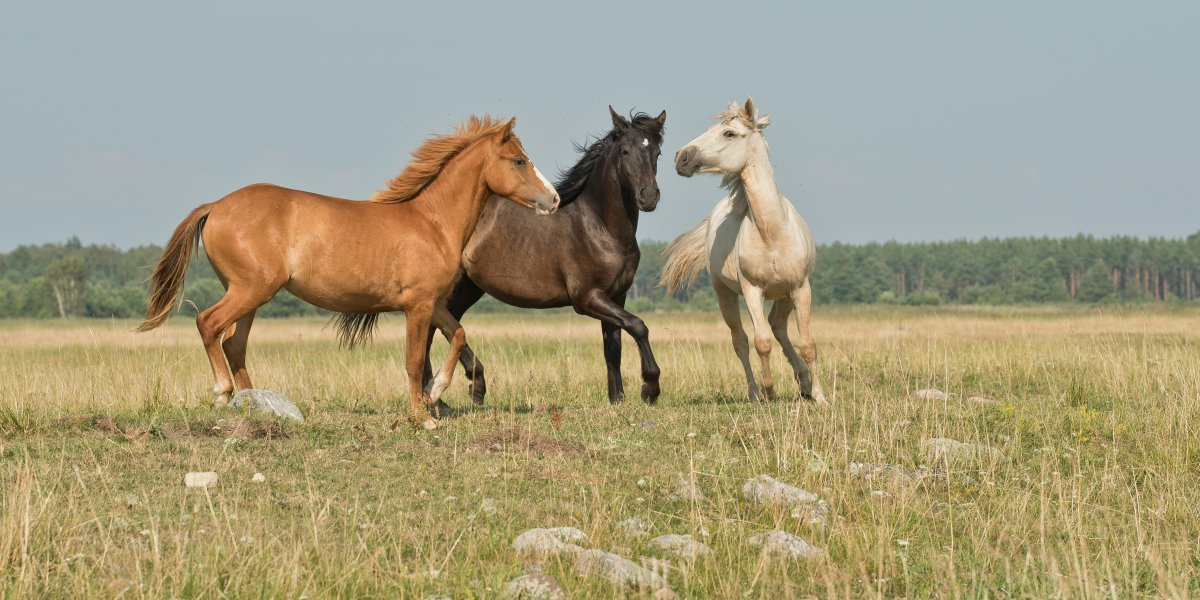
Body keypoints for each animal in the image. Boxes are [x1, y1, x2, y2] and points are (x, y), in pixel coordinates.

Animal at [137, 116, 560, 429]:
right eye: (519, 160)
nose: (554, 199)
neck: (432, 223)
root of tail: (216, 205)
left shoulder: (433, 303)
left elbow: (458, 334)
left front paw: (436, 392)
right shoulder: (417, 306)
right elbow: (413, 360)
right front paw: (422, 416)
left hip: (250, 295)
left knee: (233, 343)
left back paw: (255, 403)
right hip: (250, 290)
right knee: (208, 324)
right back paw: (223, 393)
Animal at [423, 107, 666, 406]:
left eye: (656, 152)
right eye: (625, 151)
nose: (649, 197)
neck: (600, 226)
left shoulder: (616, 296)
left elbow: (613, 347)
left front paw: (617, 399)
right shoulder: (586, 298)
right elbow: (638, 325)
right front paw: (650, 388)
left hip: (469, 287)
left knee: (446, 326)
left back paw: (462, 390)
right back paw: (444, 393)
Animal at [660, 97, 827, 405]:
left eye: (729, 133)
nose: (681, 157)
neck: (772, 233)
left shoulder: (801, 289)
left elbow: (808, 343)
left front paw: (820, 397)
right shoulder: (752, 291)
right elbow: (761, 342)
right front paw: (769, 391)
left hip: (784, 295)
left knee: (778, 326)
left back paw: (804, 384)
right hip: (724, 294)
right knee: (741, 341)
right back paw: (754, 392)